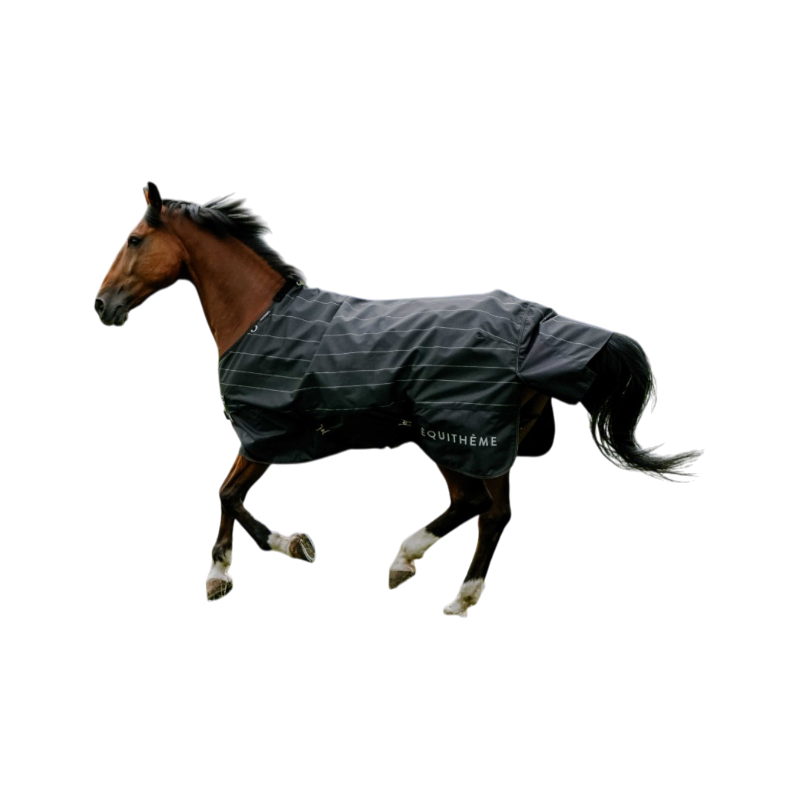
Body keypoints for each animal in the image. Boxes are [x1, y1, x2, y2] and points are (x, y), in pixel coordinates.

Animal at [95, 186, 703, 618]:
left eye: (133, 239)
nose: (102, 304)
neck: (259, 318)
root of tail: (540, 326)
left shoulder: (263, 431)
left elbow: (226, 494)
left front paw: (286, 549)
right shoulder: (262, 436)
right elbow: (227, 494)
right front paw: (223, 576)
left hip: (450, 431)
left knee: (473, 504)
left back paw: (409, 562)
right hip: (488, 439)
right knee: (493, 512)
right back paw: (456, 595)